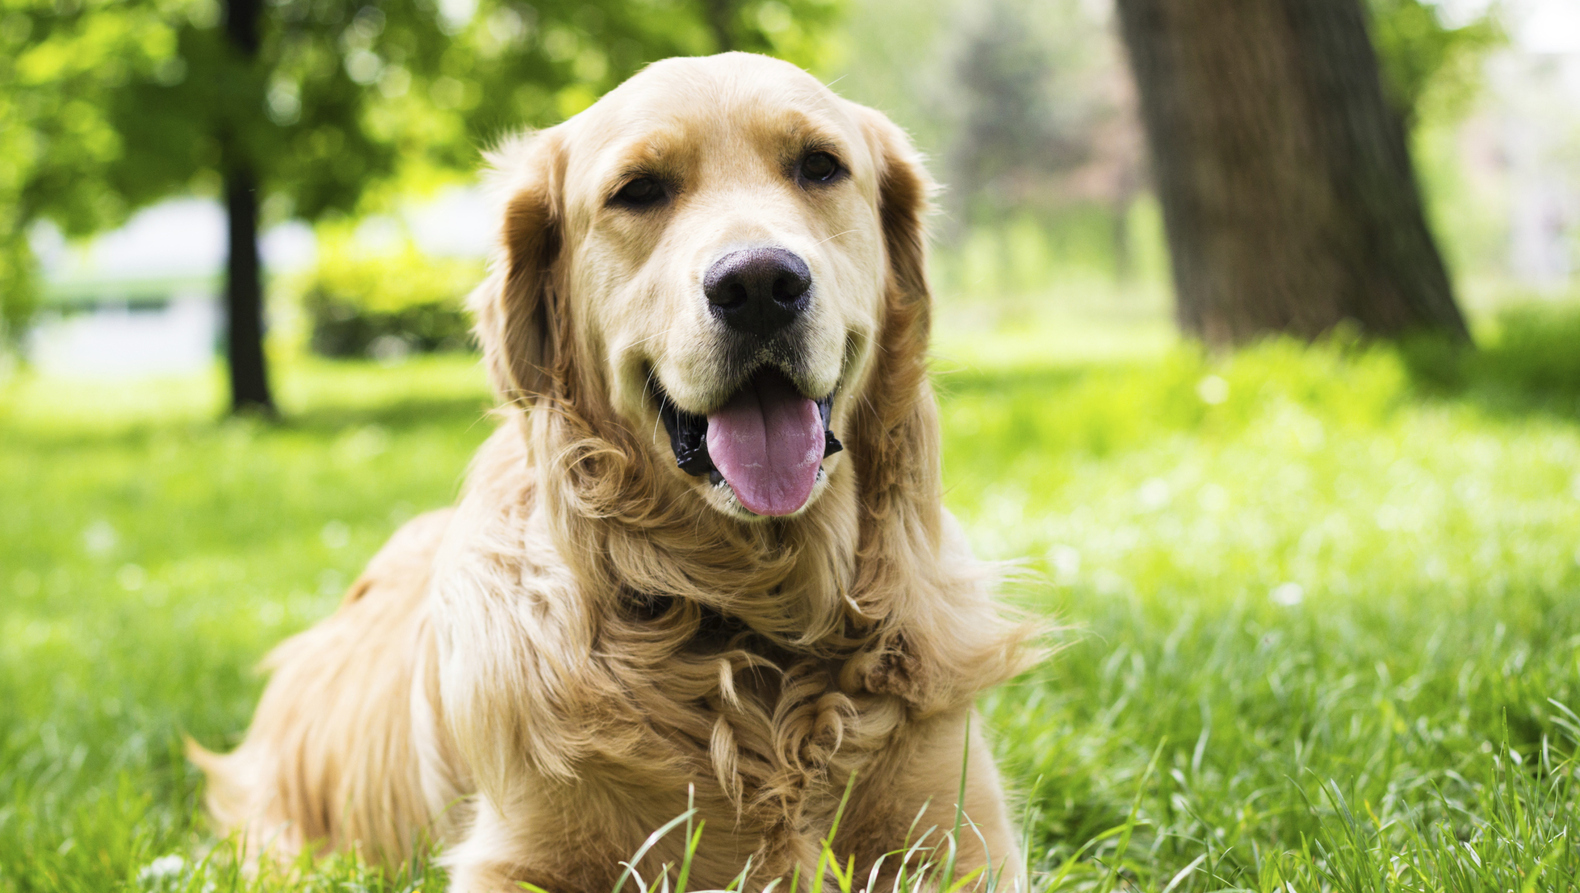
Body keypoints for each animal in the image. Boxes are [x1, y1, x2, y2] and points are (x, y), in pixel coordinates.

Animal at [194, 52, 1036, 885]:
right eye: (639, 189)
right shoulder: (515, 852)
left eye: (820, 166)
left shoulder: (961, 833)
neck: (753, 620)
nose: (759, 284)